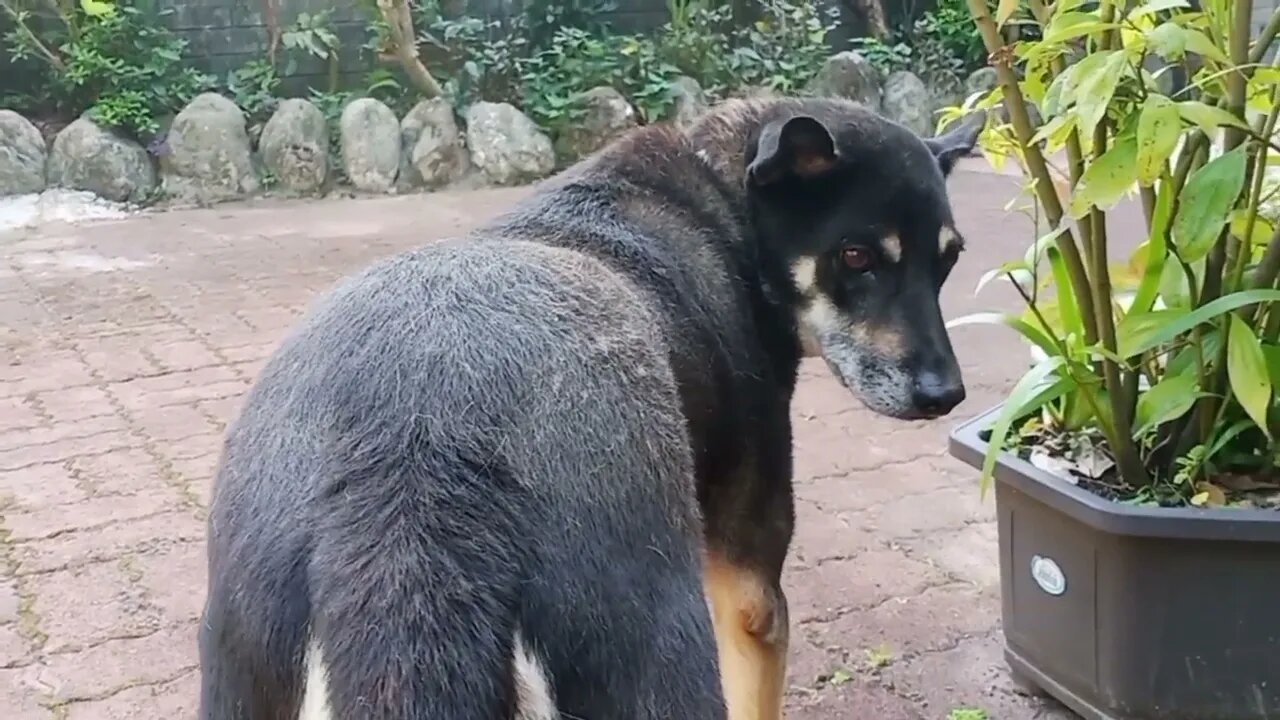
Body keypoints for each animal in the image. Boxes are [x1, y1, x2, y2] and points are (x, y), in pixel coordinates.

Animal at [202, 96, 977, 717]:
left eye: (948, 261)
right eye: (856, 256)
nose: (946, 396)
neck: (724, 199)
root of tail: (412, 459)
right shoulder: (749, 596)